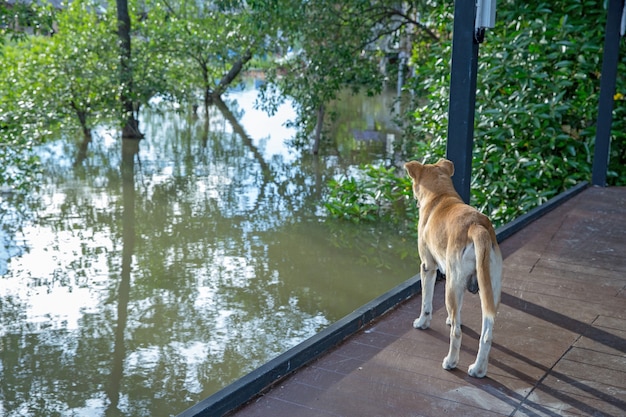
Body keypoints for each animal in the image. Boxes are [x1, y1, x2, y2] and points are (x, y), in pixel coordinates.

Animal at [404, 157, 502, 376]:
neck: (440, 196)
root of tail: (477, 226)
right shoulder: (461, 283)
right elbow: (458, 311)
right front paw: (450, 318)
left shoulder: (428, 266)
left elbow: (426, 302)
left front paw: (422, 323)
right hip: (489, 289)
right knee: (487, 335)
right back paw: (478, 369)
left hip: (451, 283)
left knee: (456, 333)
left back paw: (450, 362)